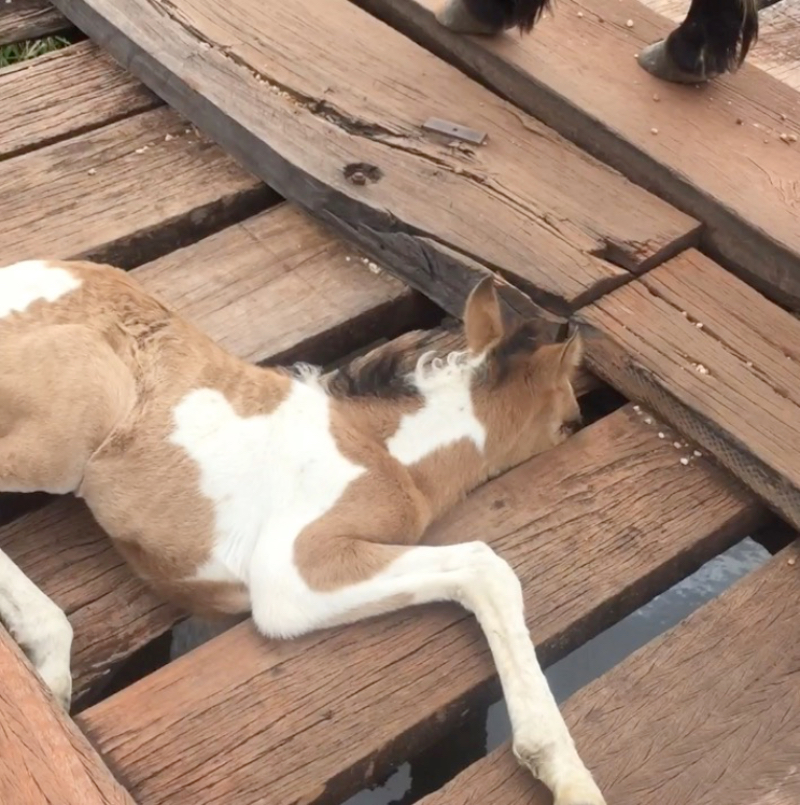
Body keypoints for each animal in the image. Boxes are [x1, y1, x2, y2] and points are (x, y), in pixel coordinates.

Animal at [0, 260, 600, 804]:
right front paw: (567, 775)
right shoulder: (293, 573)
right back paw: (48, 651)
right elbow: (485, 566)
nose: (578, 427)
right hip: (75, 416)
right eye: (569, 420)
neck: (389, 451)